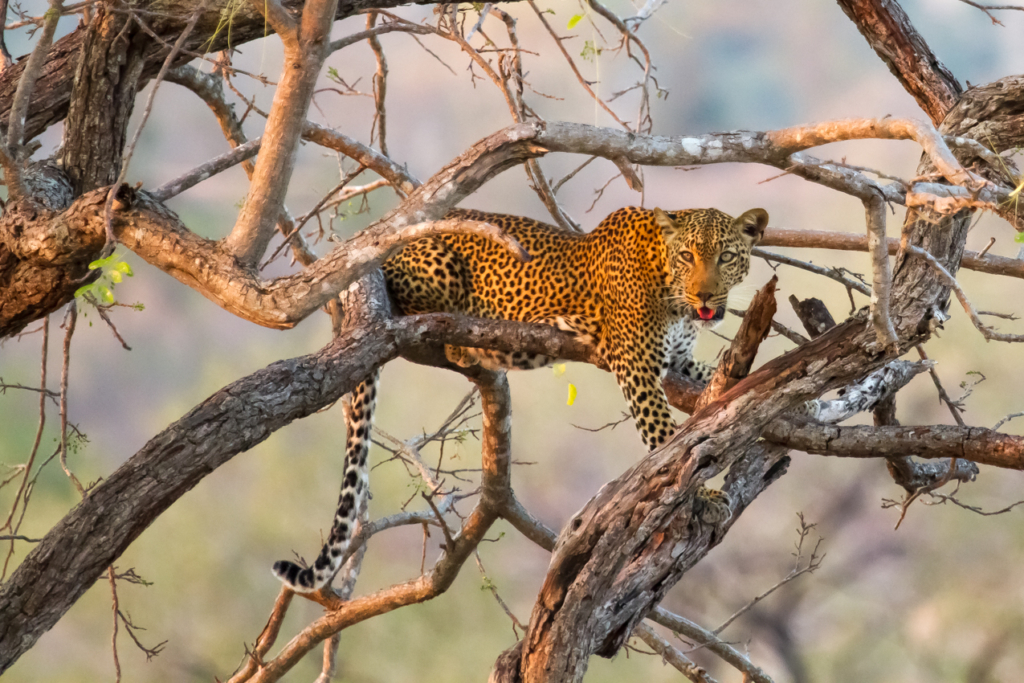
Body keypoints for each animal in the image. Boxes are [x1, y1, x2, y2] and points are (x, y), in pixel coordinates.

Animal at [272, 204, 770, 593]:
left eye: (725, 257)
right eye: (688, 256)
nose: (706, 294)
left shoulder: (679, 363)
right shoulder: (637, 364)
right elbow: (668, 439)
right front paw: (704, 492)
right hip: (440, 269)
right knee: (436, 328)